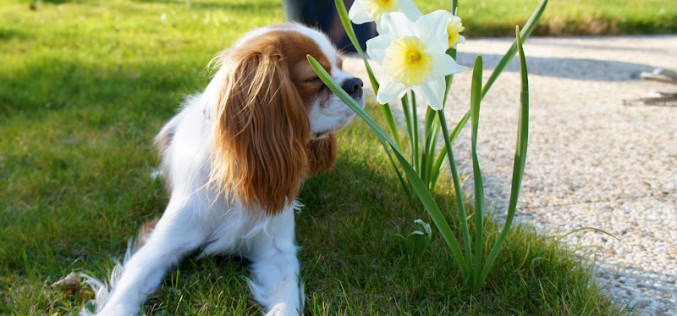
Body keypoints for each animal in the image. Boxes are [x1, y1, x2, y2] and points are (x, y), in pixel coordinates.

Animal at [82, 23, 368, 314]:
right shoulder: (160, 244)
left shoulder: (277, 252)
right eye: (314, 77)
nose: (357, 83)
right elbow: (130, 284)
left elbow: (285, 298)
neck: (236, 172)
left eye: (342, 65)